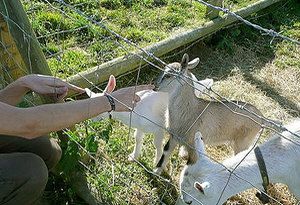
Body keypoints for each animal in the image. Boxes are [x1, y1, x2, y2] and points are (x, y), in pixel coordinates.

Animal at [85, 77, 214, 166]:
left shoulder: (159, 127)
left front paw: (156, 163)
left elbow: (157, 144)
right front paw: (133, 157)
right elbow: (137, 138)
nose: (89, 119)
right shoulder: (140, 126)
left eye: (99, 107)